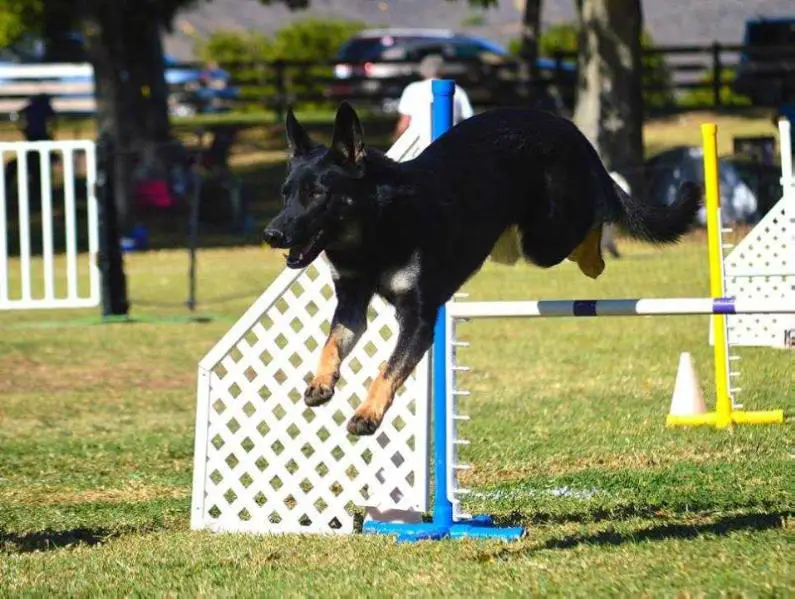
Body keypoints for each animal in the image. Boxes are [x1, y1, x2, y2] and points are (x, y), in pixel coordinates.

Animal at [264, 102, 700, 436]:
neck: (375, 228)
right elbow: (331, 344)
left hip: (544, 238)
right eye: (285, 193)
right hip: (512, 242)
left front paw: (367, 414)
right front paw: (321, 382)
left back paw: (595, 258)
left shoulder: (418, 318)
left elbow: (388, 368)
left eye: (316, 194)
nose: (271, 233)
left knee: (592, 219)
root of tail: (566, 126)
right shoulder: (352, 303)